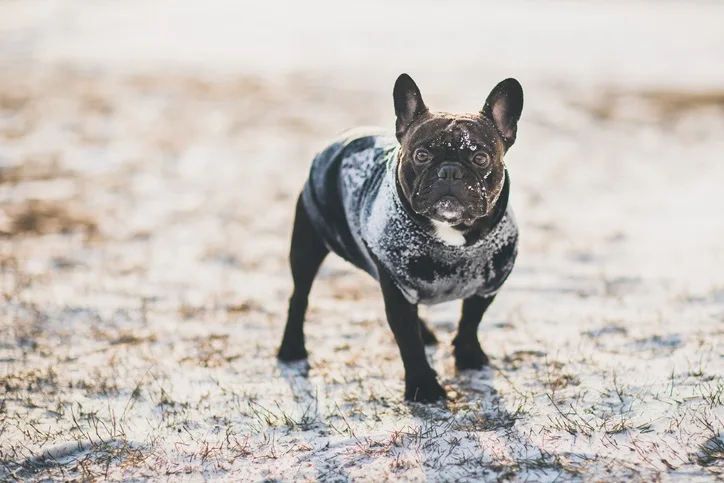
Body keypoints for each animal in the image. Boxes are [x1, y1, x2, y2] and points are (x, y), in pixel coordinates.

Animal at [276, 73, 520, 402]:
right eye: (421, 155)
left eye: (480, 157)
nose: (450, 171)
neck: (452, 238)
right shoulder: (395, 287)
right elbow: (408, 342)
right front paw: (424, 387)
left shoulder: (488, 284)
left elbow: (470, 322)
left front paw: (468, 357)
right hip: (307, 243)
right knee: (299, 296)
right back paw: (291, 349)